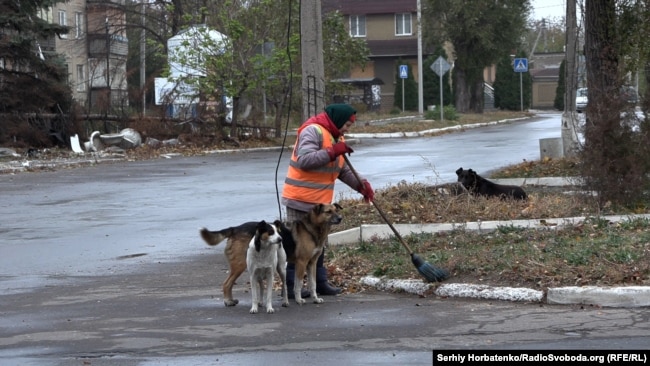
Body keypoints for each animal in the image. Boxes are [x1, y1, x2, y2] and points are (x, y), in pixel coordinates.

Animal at [197, 204, 342, 308]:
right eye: (328, 212)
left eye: (336, 210)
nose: (340, 218)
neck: (311, 228)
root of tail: (235, 228)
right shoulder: (301, 263)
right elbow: (298, 284)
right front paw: (299, 299)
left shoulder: (312, 264)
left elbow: (313, 284)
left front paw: (315, 299)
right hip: (240, 264)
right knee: (226, 284)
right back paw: (228, 301)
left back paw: (232, 300)